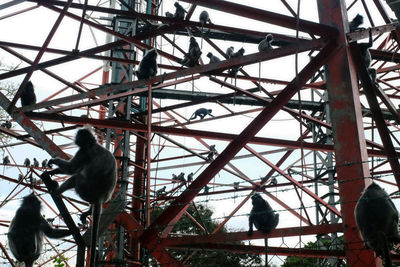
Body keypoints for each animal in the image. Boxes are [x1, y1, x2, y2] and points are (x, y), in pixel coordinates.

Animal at [43, 128, 117, 267]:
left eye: (79, 136)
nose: (76, 138)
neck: (93, 144)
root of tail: (100, 197)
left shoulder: (83, 151)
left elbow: (71, 169)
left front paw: (54, 163)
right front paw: (53, 171)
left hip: (85, 189)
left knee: (76, 177)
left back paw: (57, 191)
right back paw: (89, 210)